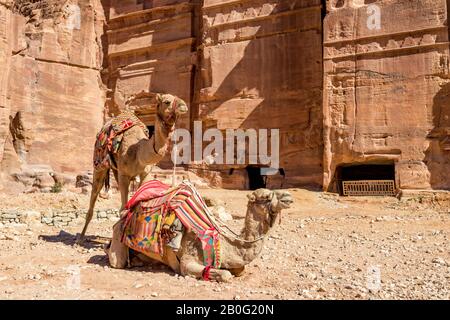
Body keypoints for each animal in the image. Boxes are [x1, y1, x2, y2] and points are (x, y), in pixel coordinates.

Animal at [78, 94, 187, 244]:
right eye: (167, 101)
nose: (184, 106)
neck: (138, 151)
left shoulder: (145, 173)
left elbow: (138, 203)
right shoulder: (124, 174)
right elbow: (123, 209)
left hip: (116, 170)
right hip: (99, 164)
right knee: (95, 191)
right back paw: (80, 238)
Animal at [107, 189, 294, 282]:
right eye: (266, 196)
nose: (289, 197)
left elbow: (240, 270)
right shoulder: (188, 260)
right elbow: (225, 275)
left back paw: (139, 261)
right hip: (118, 236)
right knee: (117, 260)